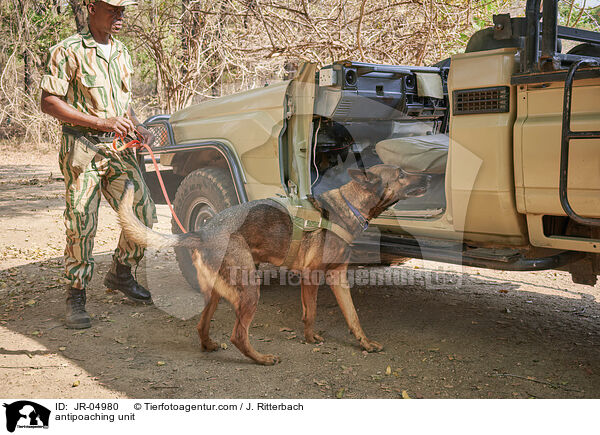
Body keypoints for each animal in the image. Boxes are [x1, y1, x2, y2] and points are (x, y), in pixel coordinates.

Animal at [117, 165, 426, 366]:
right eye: (401, 174)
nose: (429, 175)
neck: (347, 208)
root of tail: (203, 232)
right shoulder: (312, 277)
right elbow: (311, 313)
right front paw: (310, 339)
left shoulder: (337, 278)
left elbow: (353, 317)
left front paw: (364, 343)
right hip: (250, 290)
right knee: (238, 335)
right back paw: (262, 359)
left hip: (216, 294)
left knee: (202, 326)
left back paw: (209, 345)